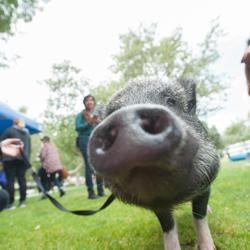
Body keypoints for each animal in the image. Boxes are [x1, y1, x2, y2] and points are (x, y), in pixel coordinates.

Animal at [87, 78, 219, 250]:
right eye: (112, 112)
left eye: (171, 101)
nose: (125, 118)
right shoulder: (157, 205)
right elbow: (167, 225)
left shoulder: (205, 182)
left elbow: (199, 215)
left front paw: (209, 247)